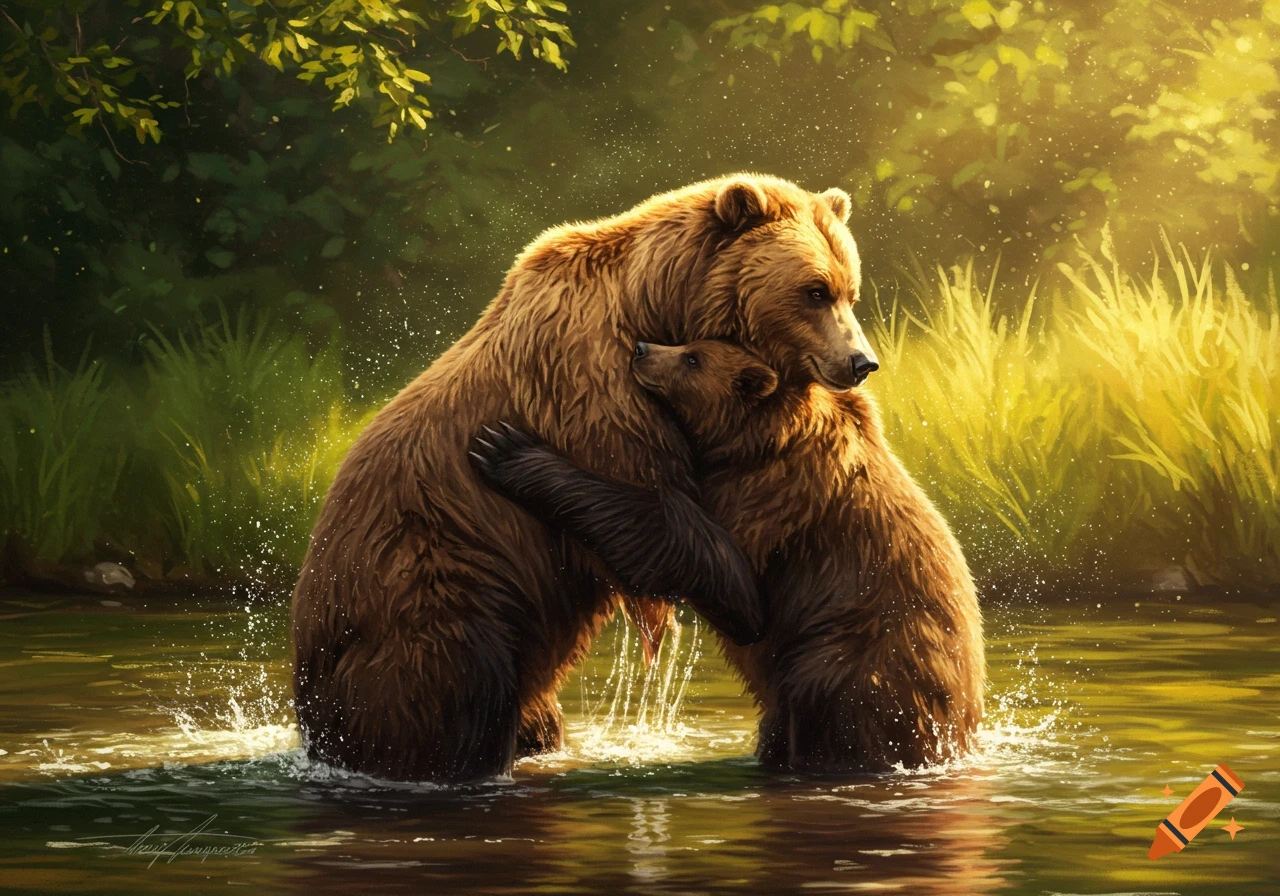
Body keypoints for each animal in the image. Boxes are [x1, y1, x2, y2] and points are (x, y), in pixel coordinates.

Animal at [291, 173, 878, 781]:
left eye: (849, 290)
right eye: (814, 291)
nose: (862, 363)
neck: (658, 305)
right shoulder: (593, 385)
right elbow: (658, 516)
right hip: (430, 590)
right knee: (455, 692)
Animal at [471, 339, 985, 772]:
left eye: (692, 358)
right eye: (688, 345)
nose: (641, 348)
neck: (753, 438)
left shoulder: (770, 499)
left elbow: (716, 572)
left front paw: (507, 449)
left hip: (853, 666)